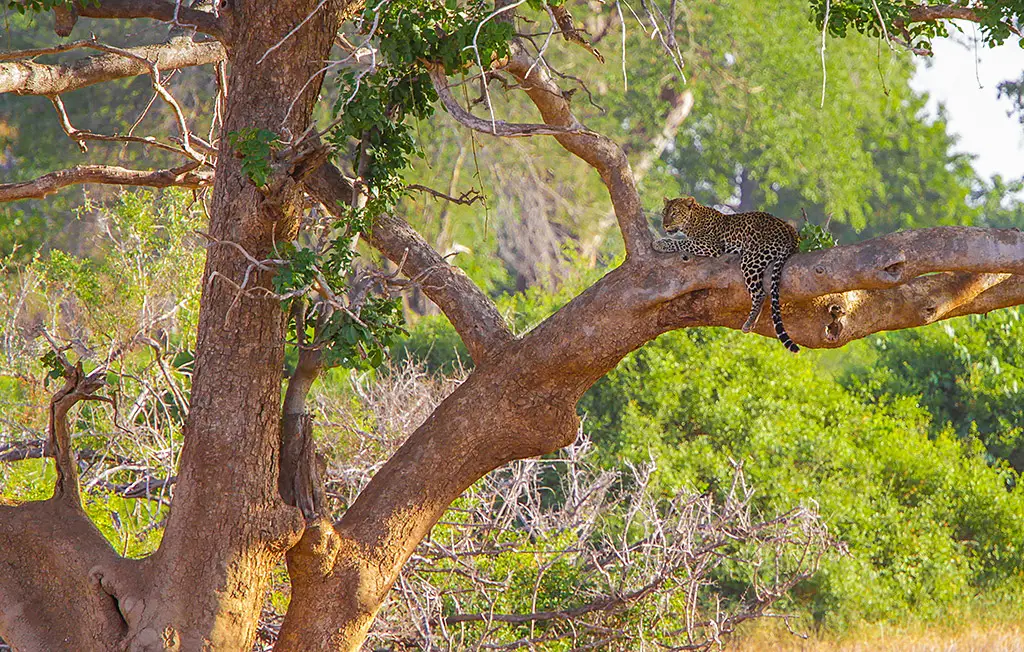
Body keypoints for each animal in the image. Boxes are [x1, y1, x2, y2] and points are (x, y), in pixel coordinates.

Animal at [653, 196, 800, 353]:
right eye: (664, 213)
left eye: (675, 213)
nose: (665, 225)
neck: (694, 220)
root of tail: (791, 233)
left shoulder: (709, 245)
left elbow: (683, 243)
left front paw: (660, 243)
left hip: (751, 259)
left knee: (760, 293)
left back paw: (748, 323)